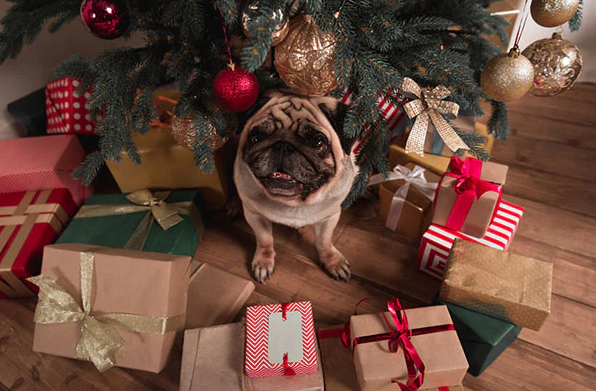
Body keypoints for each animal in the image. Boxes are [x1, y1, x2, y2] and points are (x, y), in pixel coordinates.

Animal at [234, 90, 356, 284]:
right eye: (256, 137)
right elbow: (265, 240)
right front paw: (263, 261)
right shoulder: (254, 215)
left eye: (318, 143)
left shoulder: (330, 216)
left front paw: (333, 261)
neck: (293, 202)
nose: (283, 145)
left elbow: (324, 242)